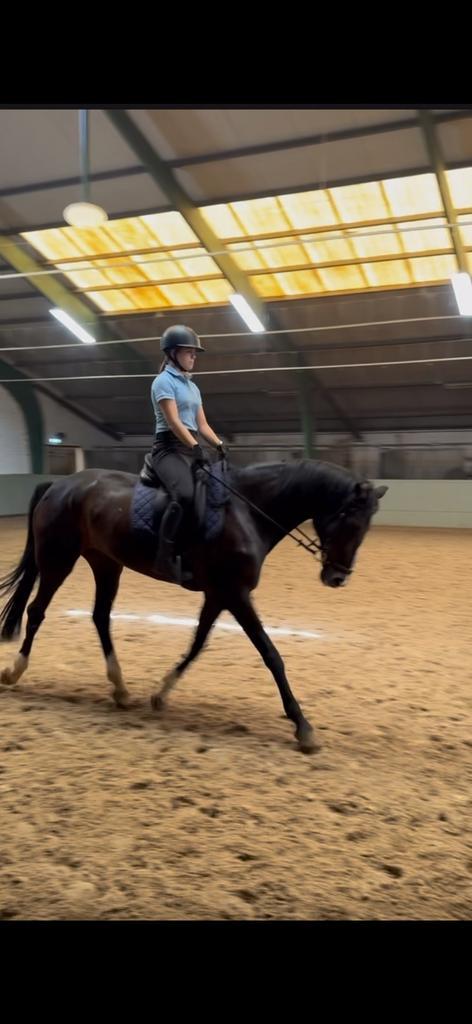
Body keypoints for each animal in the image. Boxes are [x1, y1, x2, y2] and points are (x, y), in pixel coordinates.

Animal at [0, 459, 387, 753]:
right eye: (348, 519)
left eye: (368, 526)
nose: (337, 578)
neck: (247, 511)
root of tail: (60, 484)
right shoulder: (235, 593)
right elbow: (270, 654)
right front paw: (303, 727)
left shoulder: (219, 595)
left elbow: (199, 642)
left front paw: (160, 694)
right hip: (58, 559)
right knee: (36, 612)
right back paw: (14, 672)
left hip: (106, 563)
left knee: (100, 617)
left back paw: (121, 690)